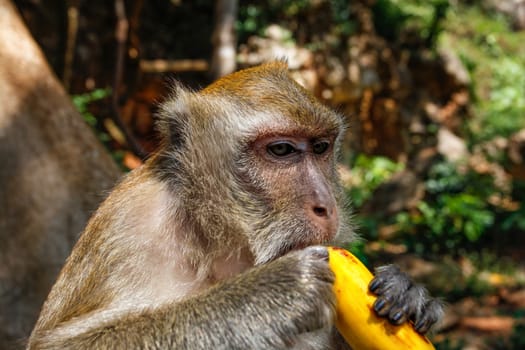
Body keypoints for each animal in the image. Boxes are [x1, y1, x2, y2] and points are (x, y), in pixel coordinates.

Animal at [26, 61, 440, 348]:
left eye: (322, 148)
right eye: (282, 151)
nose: (326, 206)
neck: (211, 237)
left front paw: (408, 292)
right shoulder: (131, 226)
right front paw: (271, 293)